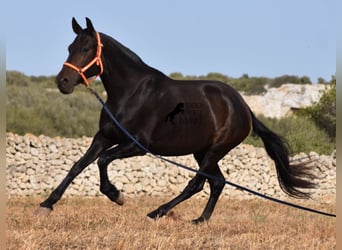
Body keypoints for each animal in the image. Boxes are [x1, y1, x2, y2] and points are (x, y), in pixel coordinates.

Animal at [34, 18, 316, 223]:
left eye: (85, 48)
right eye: (70, 48)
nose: (63, 82)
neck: (132, 93)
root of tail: (243, 107)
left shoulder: (137, 146)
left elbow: (102, 161)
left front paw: (117, 195)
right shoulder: (103, 137)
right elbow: (78, 166)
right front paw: (46, 205)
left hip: (215, 150)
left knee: (197, 183)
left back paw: (157, 212)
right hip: (202, 152)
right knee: (217, 182)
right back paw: (200, 220)